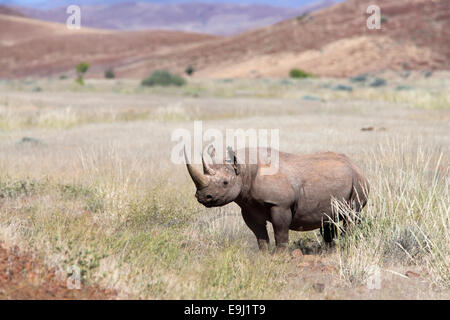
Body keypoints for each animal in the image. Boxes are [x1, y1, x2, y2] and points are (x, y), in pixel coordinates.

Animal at [184, 146, 370, 252]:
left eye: (225, 183)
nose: (202, 196)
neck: (244, 170)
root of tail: (355, 165)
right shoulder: (248, 206)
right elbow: (259, 234)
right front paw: (264, 255)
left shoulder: (280, 205)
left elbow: (280, 232)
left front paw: (280, 256)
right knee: (329, 219)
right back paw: (329, 251)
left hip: (358, 182)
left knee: (351, 216)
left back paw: (346, 246)